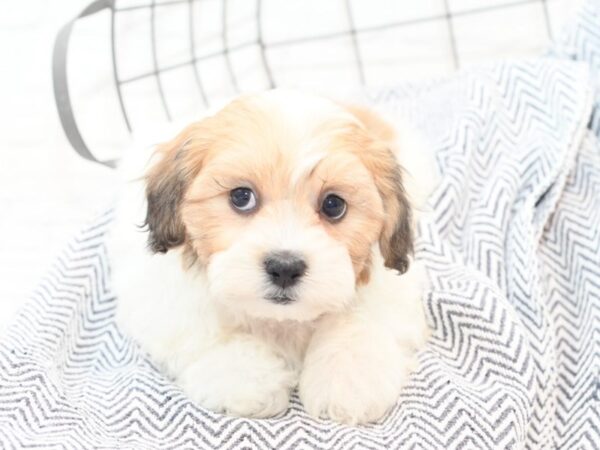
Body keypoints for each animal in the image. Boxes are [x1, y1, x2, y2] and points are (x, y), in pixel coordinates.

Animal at [109, 89, 436, 426]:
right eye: (241, 197)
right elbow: (207, 335)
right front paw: (249, 378)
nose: (284, 268)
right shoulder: (165, 301)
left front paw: (347, 381)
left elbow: (360, 322)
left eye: (334, 205)